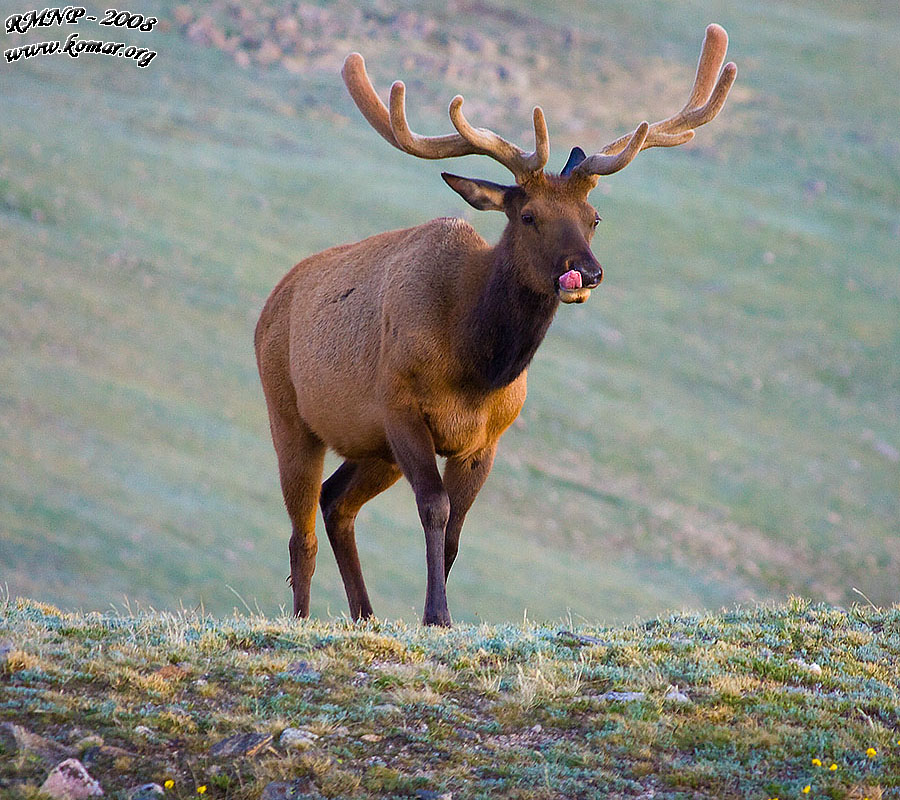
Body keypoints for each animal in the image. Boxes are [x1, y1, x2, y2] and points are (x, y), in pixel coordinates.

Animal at [256, 23, 736, 624]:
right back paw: (302, 619)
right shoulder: (400, 407)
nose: (587, 272)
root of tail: (271, 302)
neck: (473, 366)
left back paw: (364, 615)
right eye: (528, 215)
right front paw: (437, 615)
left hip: (372, 448)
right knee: (301, 531)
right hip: (291, 413)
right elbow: (434, 509)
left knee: (336, 502)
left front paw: (435, 617)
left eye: (594, 218)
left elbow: (456, 533)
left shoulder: (485, 440)